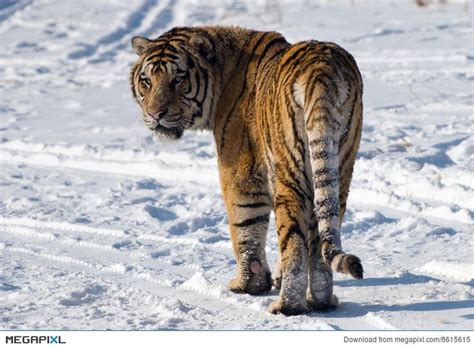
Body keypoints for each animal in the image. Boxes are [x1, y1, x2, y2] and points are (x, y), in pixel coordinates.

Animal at [130, 25, 362, 316]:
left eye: (177, 80)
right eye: (147, 81)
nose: (155, 114)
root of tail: (322, 69)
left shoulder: (240, 170)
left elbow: (245, 225)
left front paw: (247, 284)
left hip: (290, 174)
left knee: (294, 243)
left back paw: (287, 306)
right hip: (339, 165)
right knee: (323, 233)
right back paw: (322, 303)